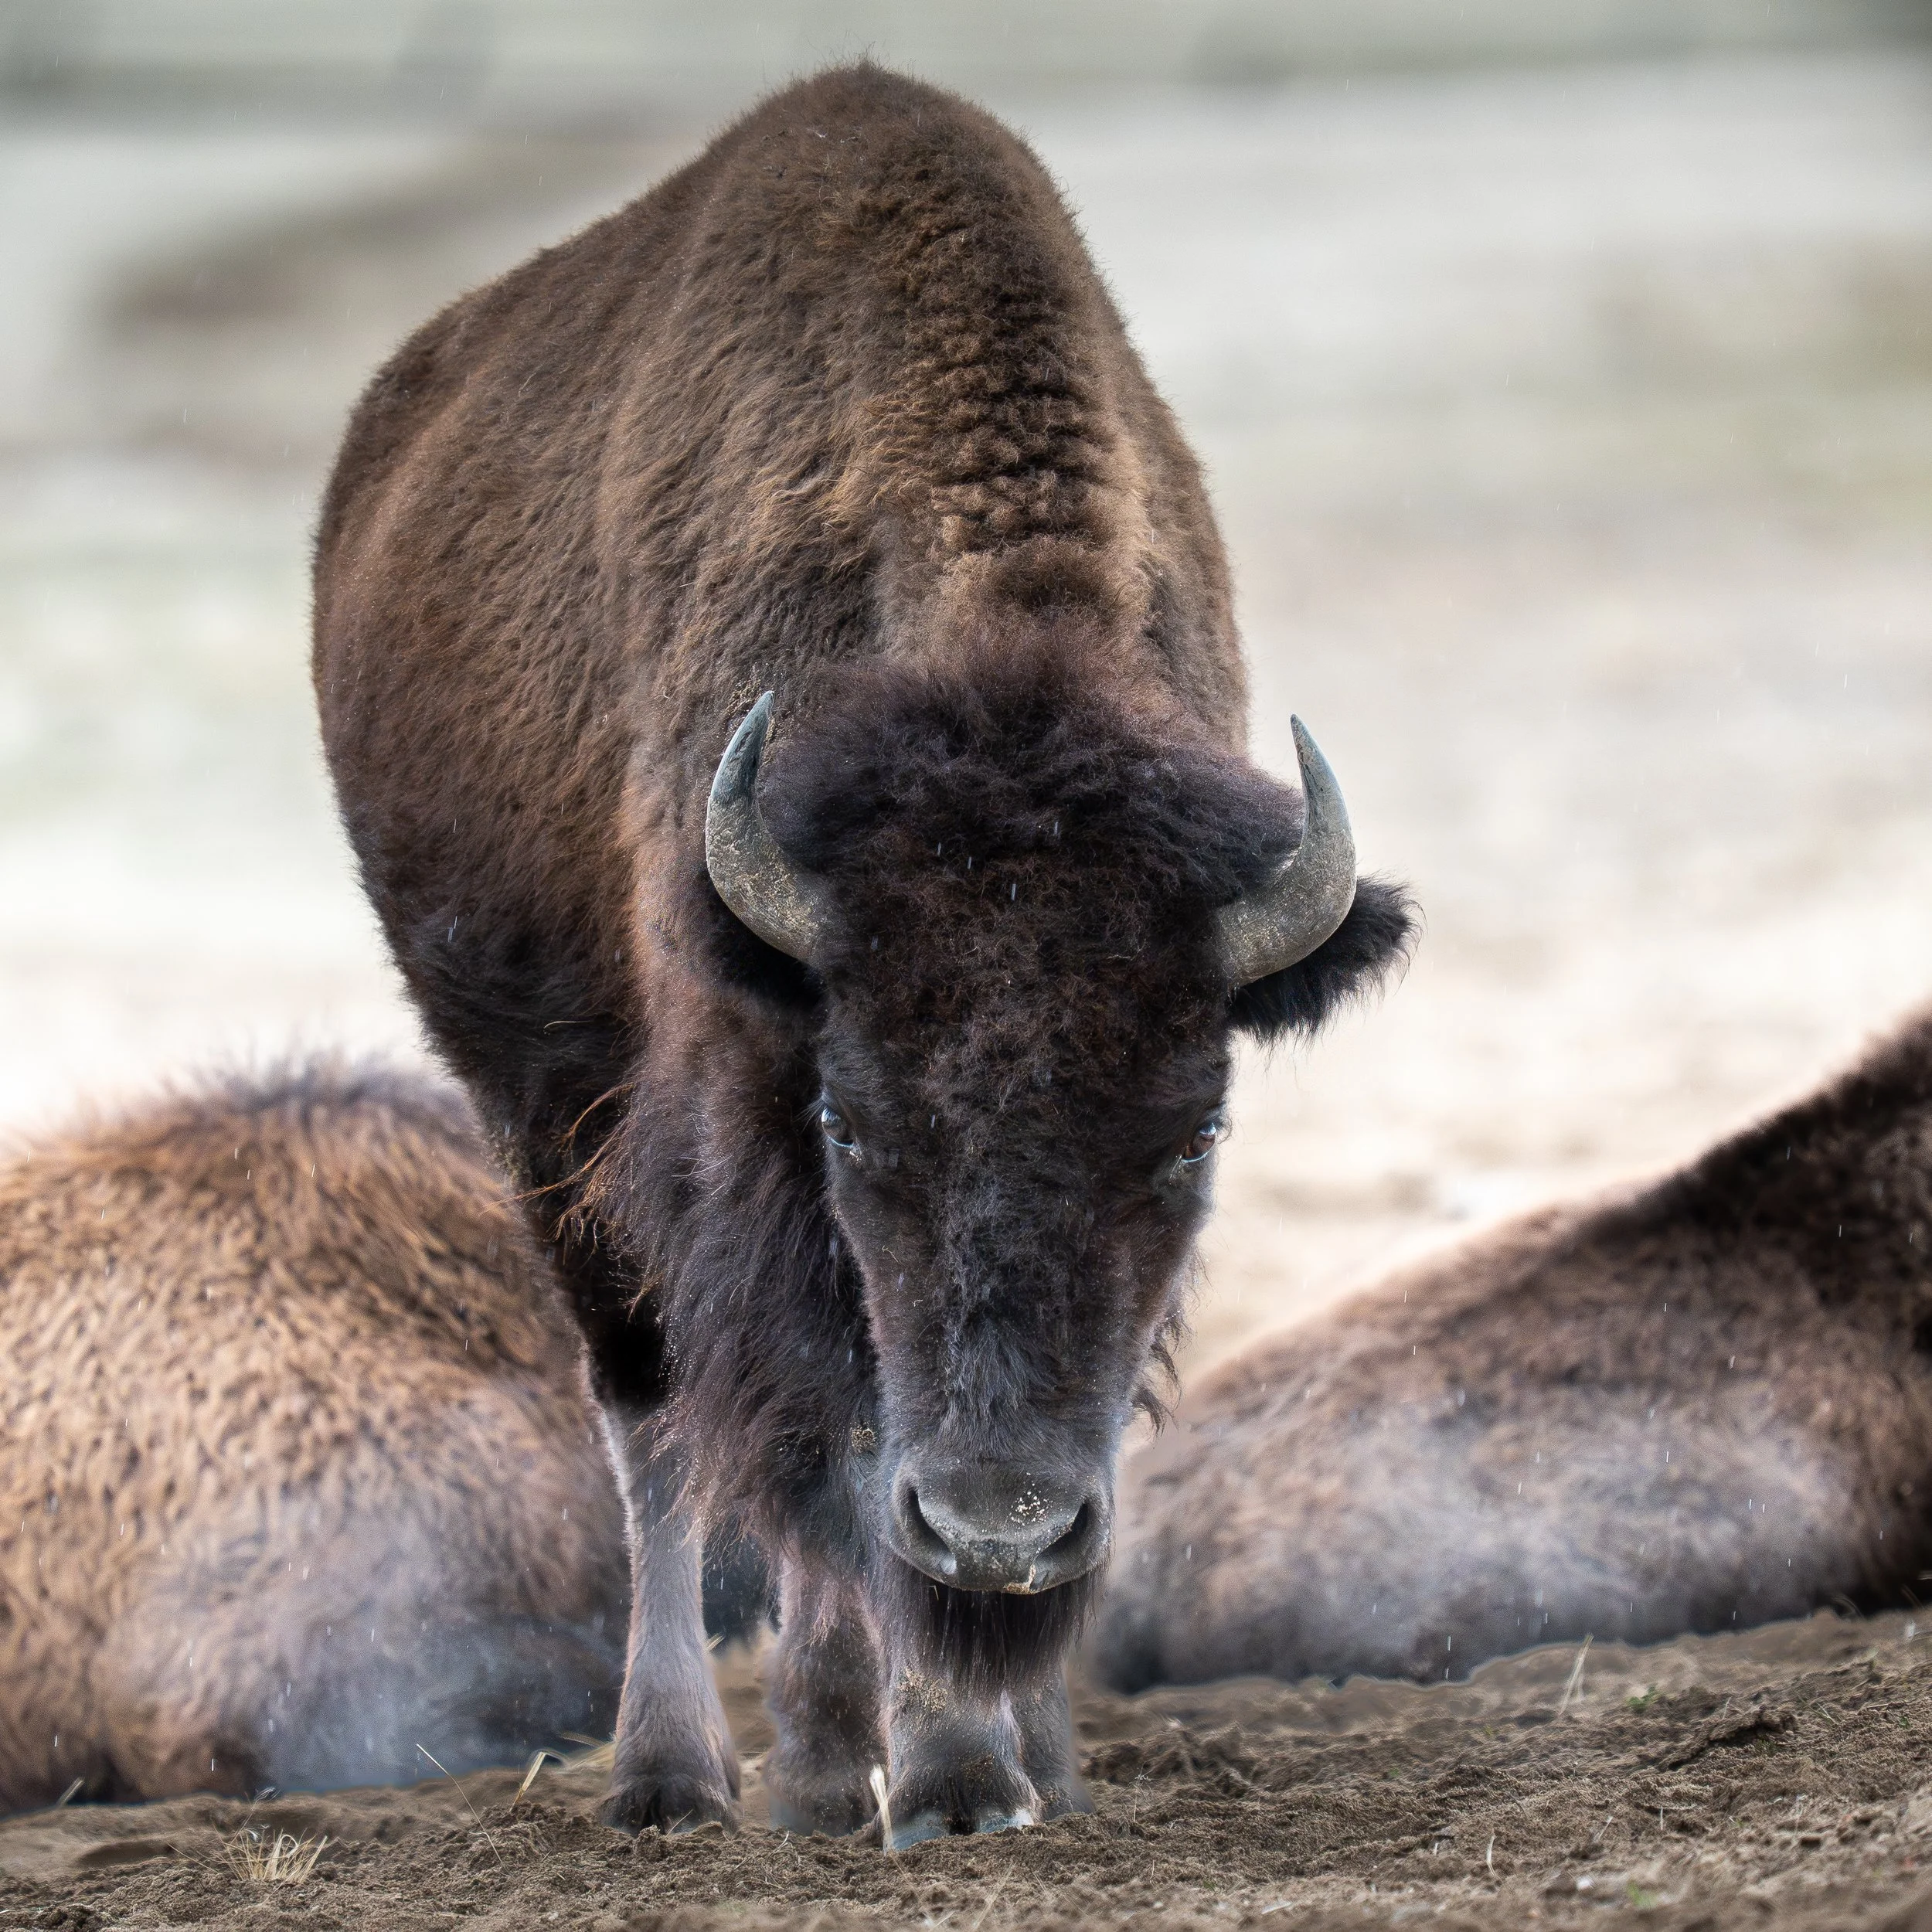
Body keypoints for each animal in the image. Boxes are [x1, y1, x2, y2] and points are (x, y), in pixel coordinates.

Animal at [312, 64, 1410, 1840]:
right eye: (851, 1122)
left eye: (1191, 1137)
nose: (1001, 1531)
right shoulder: (747, 1111)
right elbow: (817, 1428)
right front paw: (931, 1775)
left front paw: (1016, 1763)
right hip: (535, 1109)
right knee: (655, 1411)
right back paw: (682, 1774)